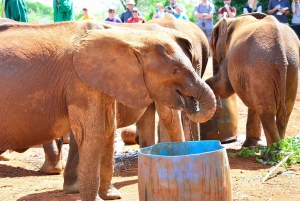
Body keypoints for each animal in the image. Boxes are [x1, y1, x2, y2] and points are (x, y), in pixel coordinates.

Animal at [0, 19, 216, 201]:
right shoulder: (79, 80)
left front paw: (111, 196)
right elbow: (93, 132)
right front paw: (96, 199)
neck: (130, 35)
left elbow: (108, 130)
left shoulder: (104, 79)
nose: (190, 102)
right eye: (175, 70)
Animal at [205, 14, 298, 147]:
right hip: (292, 66)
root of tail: (281, 56)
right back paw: (279, 147)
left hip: (261, 66)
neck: (231, 20)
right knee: (285, 109)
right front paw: (250, 145)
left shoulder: (229, 57)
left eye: (212, 46)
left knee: (267, 112)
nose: (217, 110)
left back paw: (272, 151)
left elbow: (224, 87)